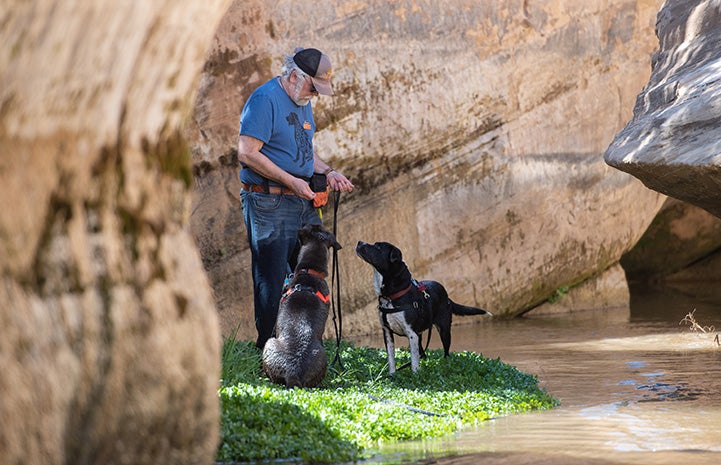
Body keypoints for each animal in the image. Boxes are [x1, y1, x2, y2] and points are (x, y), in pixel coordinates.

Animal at [354, 239, 490, 374]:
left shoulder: (411, 333)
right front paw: (392, 374)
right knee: (423, 354)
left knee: (445, 352)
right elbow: (391, 358)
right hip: (420, 334)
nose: (359, 242)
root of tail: (447, 296)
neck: (391, 296)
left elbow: (414, 359)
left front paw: (415, 375)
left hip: (444, 329)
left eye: (378, 247)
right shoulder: (387, 332)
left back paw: (445, 364)